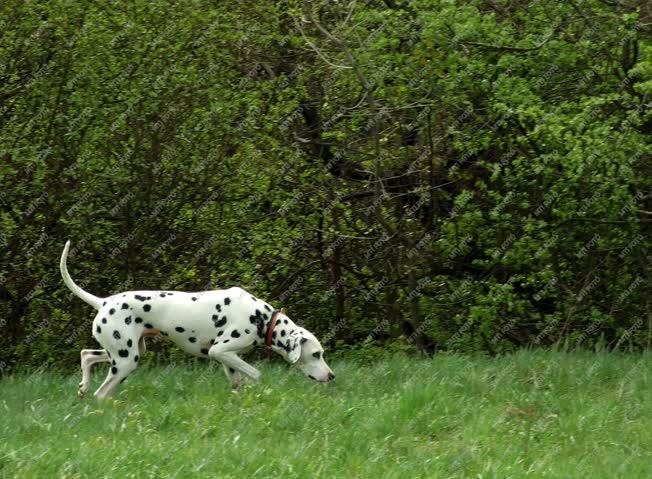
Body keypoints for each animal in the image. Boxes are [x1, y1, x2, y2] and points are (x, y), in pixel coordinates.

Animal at [59, 240, 336, 402]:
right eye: (316, 354)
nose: (332, 376)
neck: (262, 318)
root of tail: (104, 302)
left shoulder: (228, 358)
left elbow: (237, 382)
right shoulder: (220, 350)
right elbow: (255, 373)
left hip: (126, 351)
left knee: (87, 355)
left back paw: (83, 387)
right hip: (126, 361)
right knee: (101, 393)